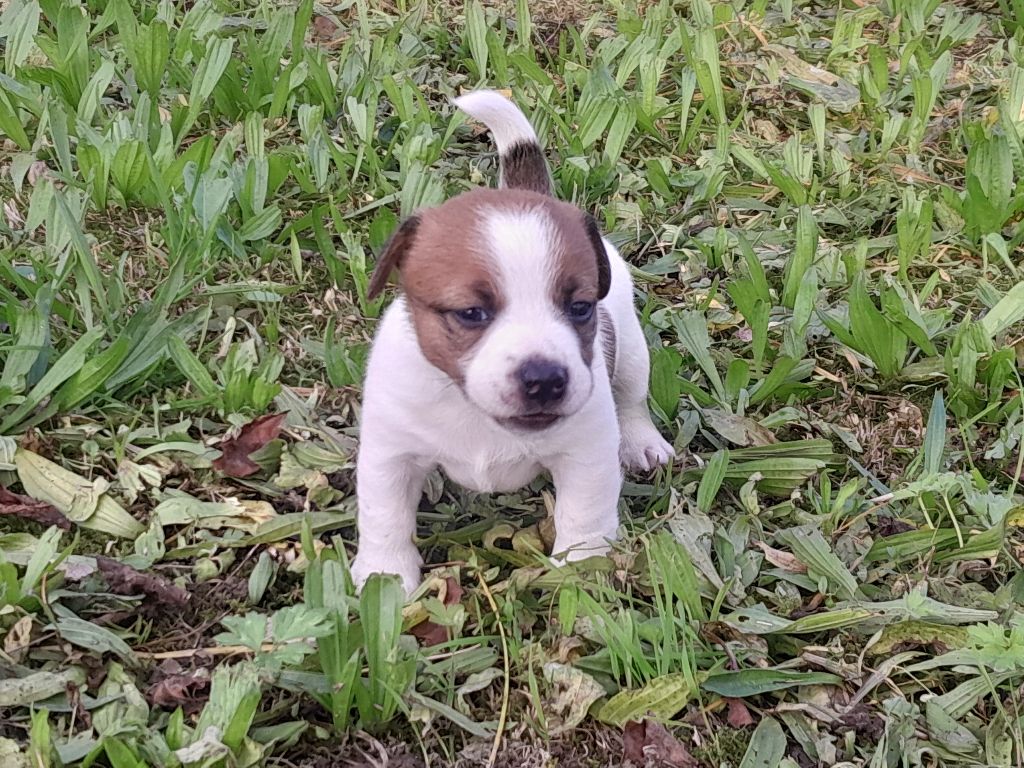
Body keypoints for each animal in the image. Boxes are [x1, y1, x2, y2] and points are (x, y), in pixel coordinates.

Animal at [348, 90, 675, 593]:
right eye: (471, 313)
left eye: (580, 307)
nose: (544, 379)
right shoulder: (390, 455)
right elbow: (384, 516)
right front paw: (384, 575)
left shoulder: (587, 455)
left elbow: (584, 517)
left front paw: (580, 572)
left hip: (632, 353)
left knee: (631, 399)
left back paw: (642, 442)